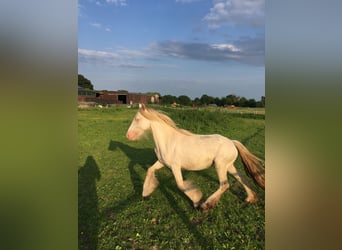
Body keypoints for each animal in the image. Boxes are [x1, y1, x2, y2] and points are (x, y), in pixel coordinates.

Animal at [125, 104, 264, 211]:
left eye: (137, 119)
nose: (128, 135)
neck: (167, 141)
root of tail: (232, 142)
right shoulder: (161, 162)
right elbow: (150, 170)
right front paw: (146, 193)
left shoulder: (175, 167)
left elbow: (181, 185)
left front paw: (197, 201)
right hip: (229, 166)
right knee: (241, 178)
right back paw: (250, 199)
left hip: (220, 166)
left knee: (225, 185)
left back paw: (206, 205)